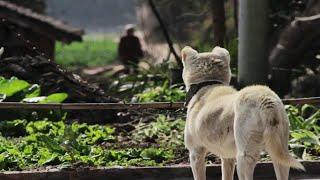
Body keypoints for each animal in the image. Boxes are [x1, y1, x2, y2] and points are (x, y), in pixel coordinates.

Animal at [181, 46, 304, 180]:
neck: (207, 84)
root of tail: (265, 98)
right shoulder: (228, 157)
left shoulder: (195, 153)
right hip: (279, 152)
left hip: (244, 157)